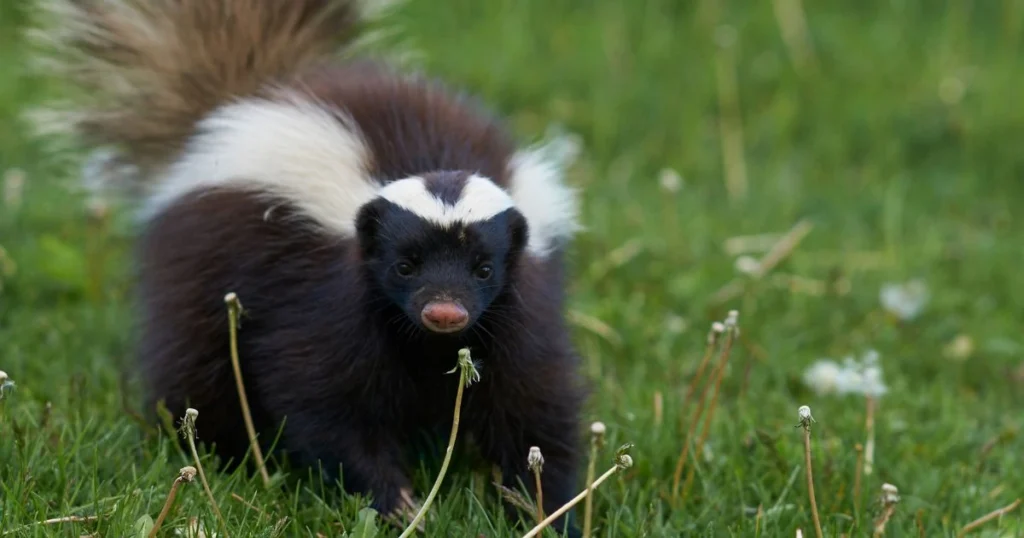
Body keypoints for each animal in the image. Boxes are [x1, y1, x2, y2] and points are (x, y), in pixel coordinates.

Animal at [29, 0, 585, 532]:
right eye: (404, 266)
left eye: (484, 269)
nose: (445, 312)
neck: (426, 344)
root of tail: (237, 105)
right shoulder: (328, 301)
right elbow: (326, 400)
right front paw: (397, 502)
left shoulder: (516, 310)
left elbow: (534, 403)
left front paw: (549, 511)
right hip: (199, 270)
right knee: (197, 370)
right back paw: (214, 455)